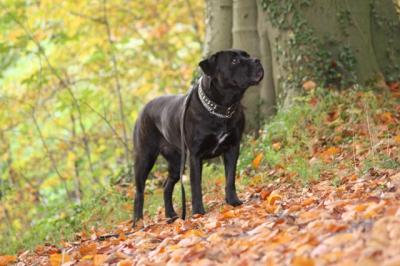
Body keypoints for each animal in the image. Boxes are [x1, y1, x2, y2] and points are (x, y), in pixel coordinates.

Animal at [133, 48, 264, 222]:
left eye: (247, 55)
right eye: (234, 60)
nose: (257, 60)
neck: (221, 108)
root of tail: (143, 110)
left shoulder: (232, 148)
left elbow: (230, 178)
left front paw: (233, 201)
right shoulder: (195, 156)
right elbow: (196, 186)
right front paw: (198, 212)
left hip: (176, 162)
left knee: (167, 186)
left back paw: (171, 215)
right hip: (145, 158)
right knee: (139, 192)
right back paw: (138, 221)